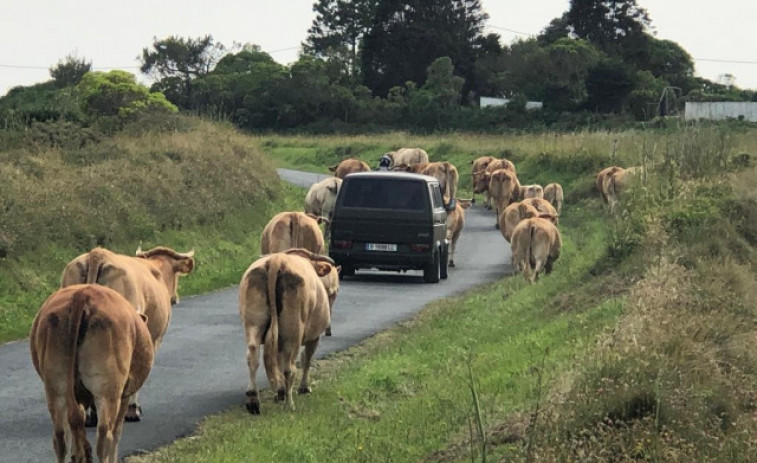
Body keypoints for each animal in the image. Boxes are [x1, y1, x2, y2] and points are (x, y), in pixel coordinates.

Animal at [29, 286, 154, 463]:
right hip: (107, 390)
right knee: (105, 435)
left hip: (55, 387)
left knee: (60, 436)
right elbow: (117, 431)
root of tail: (82, 294)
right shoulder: (124, 394)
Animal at [59, 246, 195, 424]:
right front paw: (133, 410)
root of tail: (97, 253)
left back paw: (89, 414)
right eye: (177, 275)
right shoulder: (154, 338)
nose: (175, 298)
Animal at [239, 252, 340, 416]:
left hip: (254, 322)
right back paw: (289, 404)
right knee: (289, 368)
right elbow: (307, 359)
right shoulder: (314, 337)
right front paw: (304, 387)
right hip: (293, 330)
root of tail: (277, 259)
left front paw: (279, 392)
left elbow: (278, 363)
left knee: (253, 356)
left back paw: (253, 400)